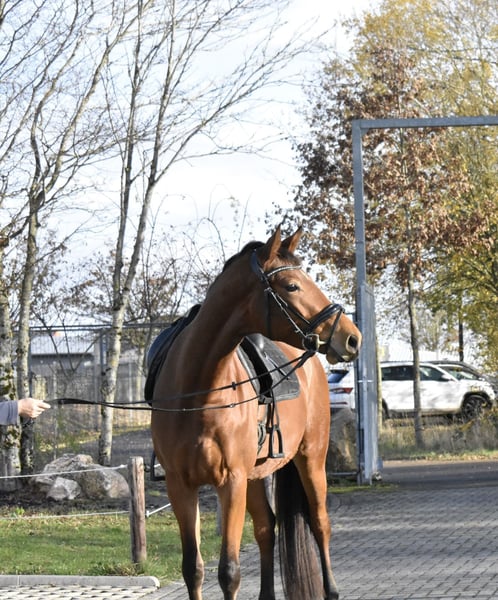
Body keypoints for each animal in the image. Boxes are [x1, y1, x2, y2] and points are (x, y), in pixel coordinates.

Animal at [150, 225, 361, 600]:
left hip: (310, 458)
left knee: (320, 523)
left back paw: (332, 589)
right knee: (266, 528)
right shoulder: (180, 485)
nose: (351, 338)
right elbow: (193, 569)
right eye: (291, 285)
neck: (198, 389)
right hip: (256, 475)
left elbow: (229, 572)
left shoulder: (230, 481)